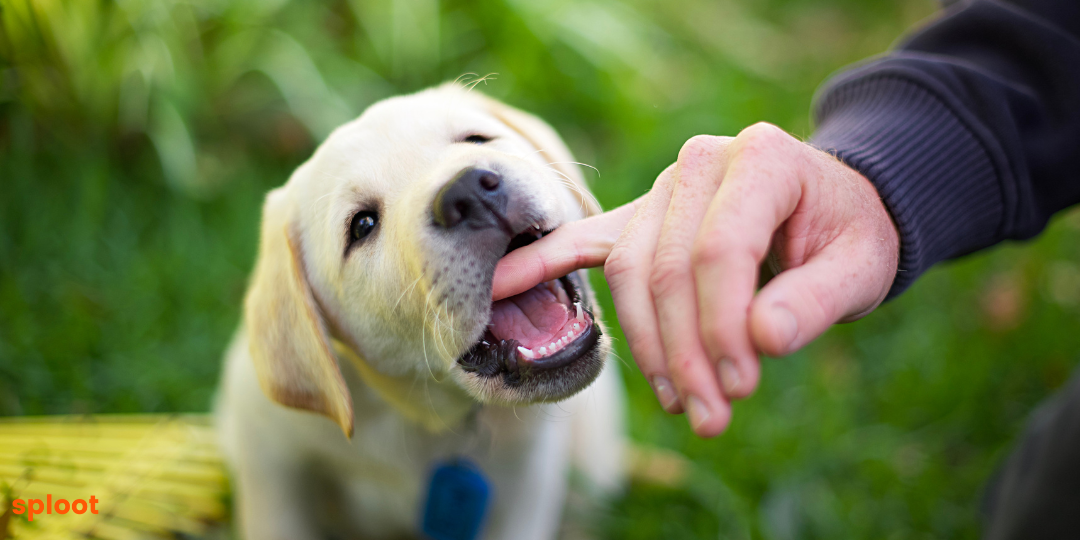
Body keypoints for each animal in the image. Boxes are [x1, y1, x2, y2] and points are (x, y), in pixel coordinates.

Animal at [213, 84, 626, 540]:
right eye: (362, 226)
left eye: (476, 140)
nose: (469, 192)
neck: (423, 417)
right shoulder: (270, 462)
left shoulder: (527, 478)